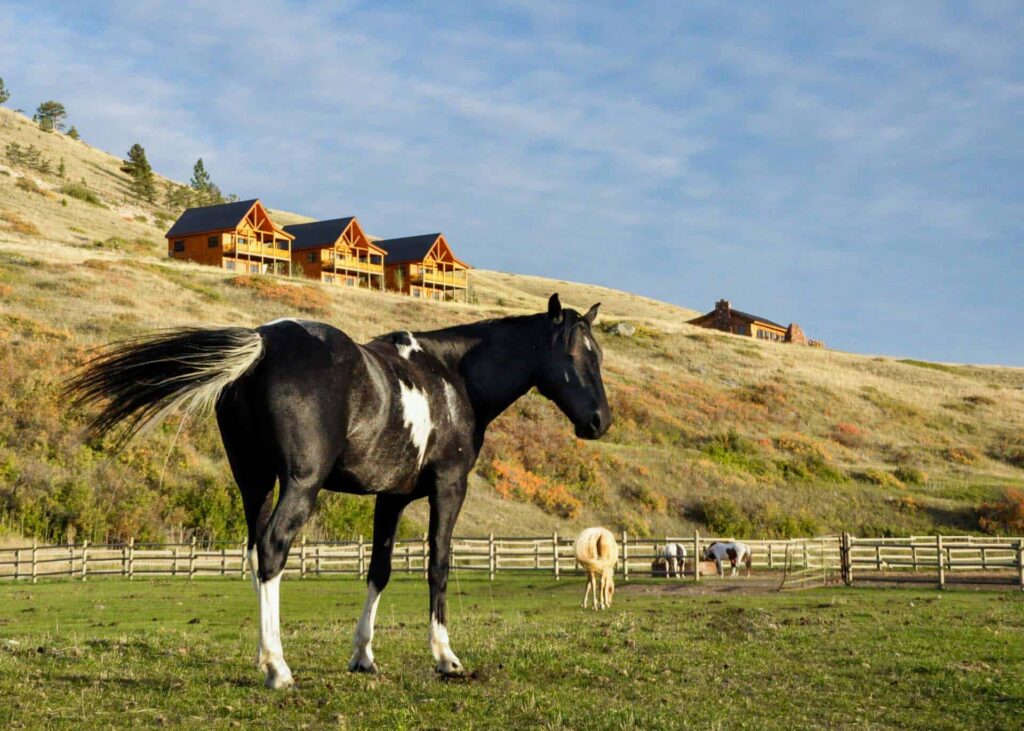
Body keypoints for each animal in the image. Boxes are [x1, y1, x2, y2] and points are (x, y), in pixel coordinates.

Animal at [70, 292, 606, 688]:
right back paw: (277, 668)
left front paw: (363, 655)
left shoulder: (391, 498)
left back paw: (265, 657)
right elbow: (437, 566)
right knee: (273, 550)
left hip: (254, 483)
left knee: (254, 553)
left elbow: (380, 570)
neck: (452, 378)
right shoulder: (448, 488)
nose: (600, 421)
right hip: (299, 486)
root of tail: (263, 344)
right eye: (572, 355)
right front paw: (445, 656)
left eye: (597, 355)